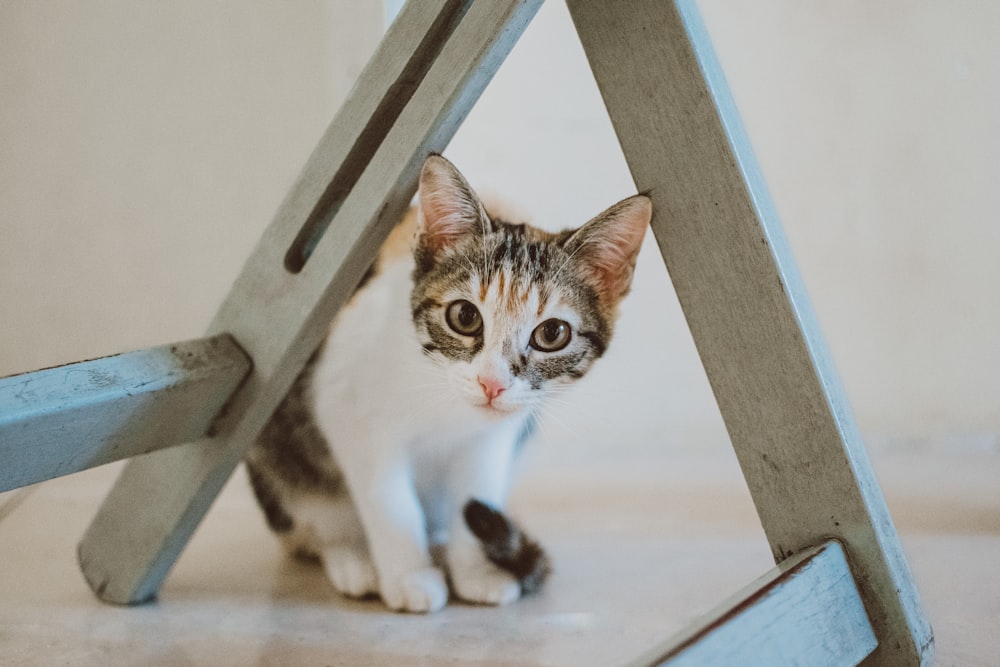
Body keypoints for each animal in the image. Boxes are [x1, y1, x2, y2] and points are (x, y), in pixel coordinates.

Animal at [242, 154, 648, 612]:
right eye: (465, 316)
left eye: (552, 333)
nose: (492, 383)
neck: (445, 400)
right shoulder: (344, 400)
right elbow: (389, 499)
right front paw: (409, 576)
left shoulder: (496, 435)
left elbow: (475, 492)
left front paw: (476, 571)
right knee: (314, 516)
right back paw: (352, 559)